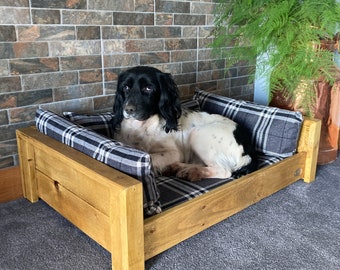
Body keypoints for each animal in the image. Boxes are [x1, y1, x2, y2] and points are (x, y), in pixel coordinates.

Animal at [113, 66, 256, 181]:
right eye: (125, 87)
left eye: (148, 88)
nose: (128, 109)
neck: (142, 127)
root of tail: (248, 150)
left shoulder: (174, 153)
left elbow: (151, 157)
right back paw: (179, 168)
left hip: (198, 135)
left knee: (224, 171)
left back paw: (192, 172)